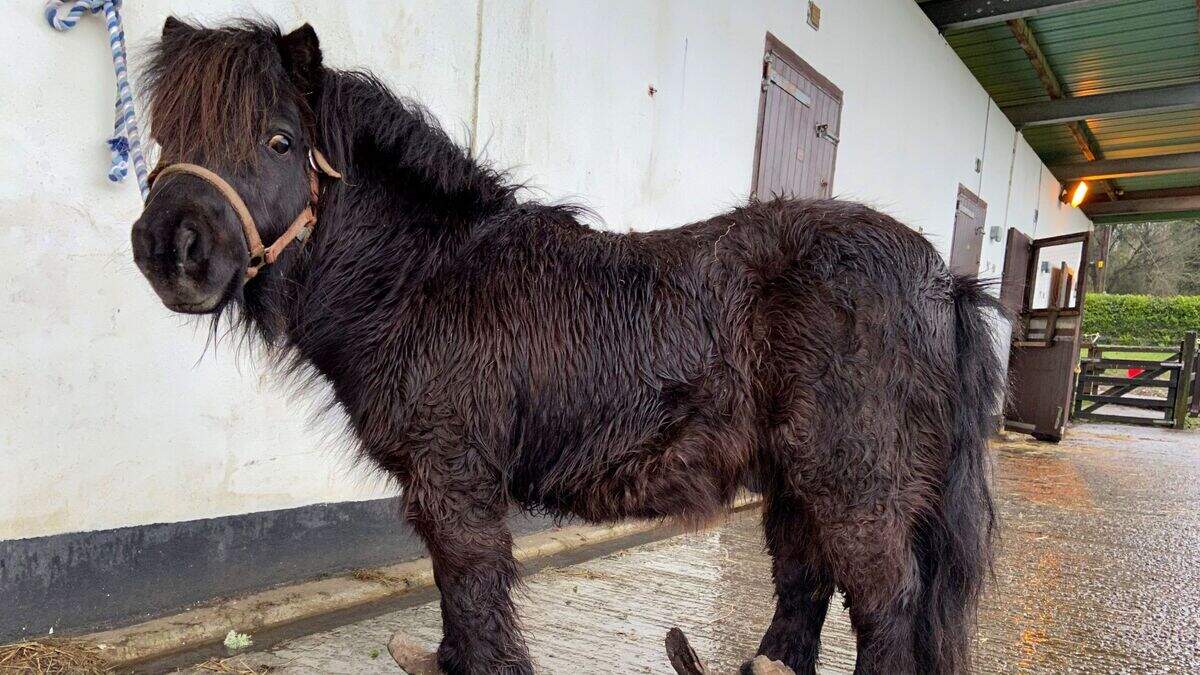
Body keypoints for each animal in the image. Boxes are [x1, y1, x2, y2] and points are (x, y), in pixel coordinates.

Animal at [129, 18, 1002, 675]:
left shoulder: (456, 480)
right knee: (803, 590)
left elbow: (475, 592)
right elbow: (459, 598)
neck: (423, 274)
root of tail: (944, 281)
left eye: (279, 141)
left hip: (856, 486)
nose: (169, 249)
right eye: (164, 135)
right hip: (796, 484)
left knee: (885, 605)